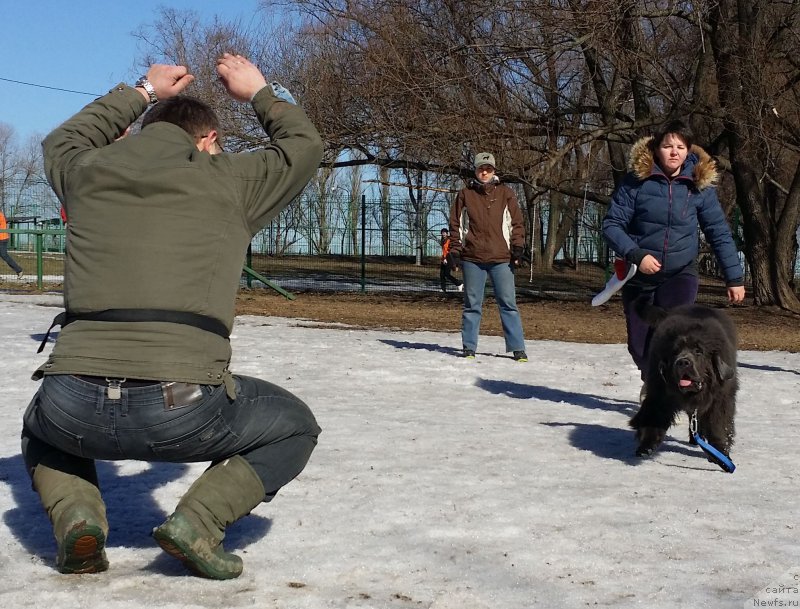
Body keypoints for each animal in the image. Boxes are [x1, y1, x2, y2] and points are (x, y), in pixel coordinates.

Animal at [632, 296, 736, 460]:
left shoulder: (720, 399)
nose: (683, 362)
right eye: (675, 351)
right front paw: (646, 446)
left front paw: (720, 452)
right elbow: (653, 416)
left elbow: (718, 425)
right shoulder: (659, 393)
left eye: (699, 351)